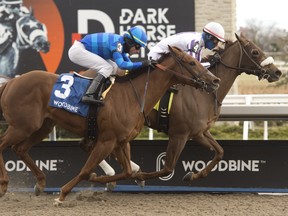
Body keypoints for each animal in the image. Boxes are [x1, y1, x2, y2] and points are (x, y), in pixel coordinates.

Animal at [0, 46, 220, 202]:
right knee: (5, 145)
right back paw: (4, 183)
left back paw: (40, 183)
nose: (215, 80)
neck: (133, 95)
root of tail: (11, 82)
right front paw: (63, 194)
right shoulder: (107, 140)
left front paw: (103, 179)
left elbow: (127, 171)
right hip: (22, 126)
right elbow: (86, 170)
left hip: (41, 126)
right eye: (192, 62)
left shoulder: (121, 141)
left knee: (20, 148)